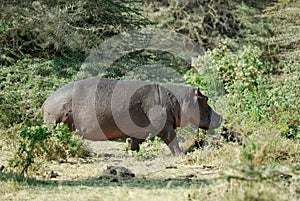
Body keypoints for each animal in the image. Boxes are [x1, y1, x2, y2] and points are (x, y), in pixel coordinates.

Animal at [42, 78, 223, 155]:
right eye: (205, 99)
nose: (220, 117)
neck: (181, 99)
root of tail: (47, 100)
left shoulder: (143, 127)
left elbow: (138, 140)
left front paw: (132, 150)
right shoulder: (164, 125)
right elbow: (172, 138)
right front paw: (182, 154)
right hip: (57, 123)